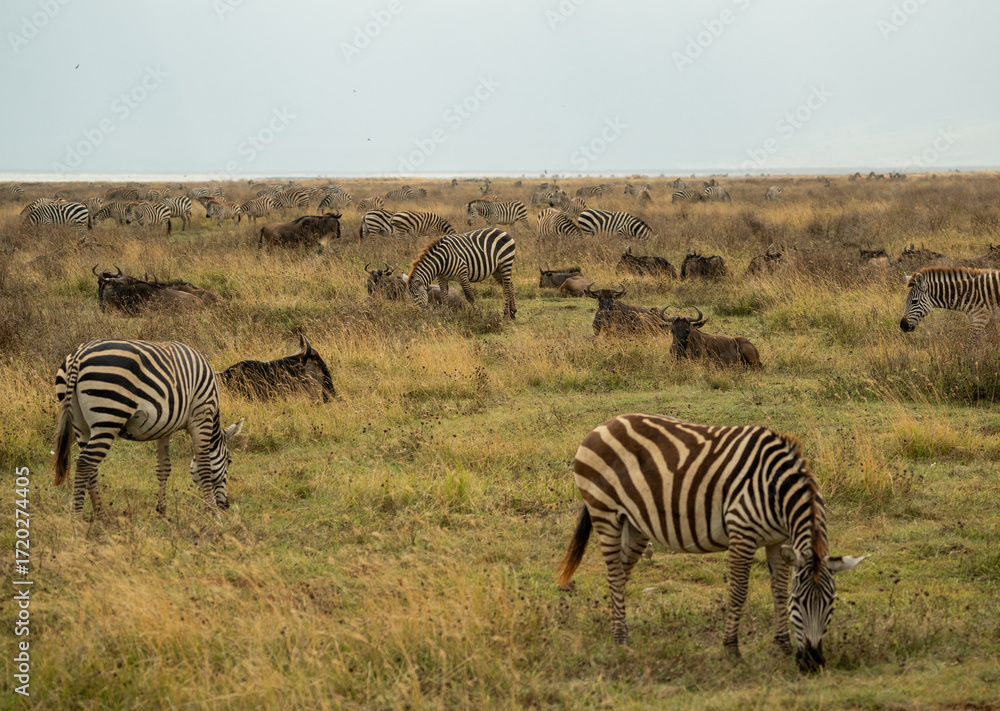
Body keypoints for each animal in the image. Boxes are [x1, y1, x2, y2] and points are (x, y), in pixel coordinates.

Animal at [54, 339, 244, 518]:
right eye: (229, 461)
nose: (225, 505)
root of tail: (78, 356)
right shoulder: (201, 415)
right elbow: (205, 467)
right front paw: (214, 513)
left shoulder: (165, 427)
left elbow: (163, 468)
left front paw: (162, 510)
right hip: (108, 417)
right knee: (84, 463)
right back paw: (76, 518)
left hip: (81, 426)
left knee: (90, 467)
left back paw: (100, 515)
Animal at [556, 413, 865, 671]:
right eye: (799, 601)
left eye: (831, 602)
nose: (812, 663)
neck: (776, 489)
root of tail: (604, 424)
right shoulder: (742, 533)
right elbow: (739, 591)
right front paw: (731, 649)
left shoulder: (779, 541)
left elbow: (778, 589)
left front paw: (783, 645)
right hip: (604, 512)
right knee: (612, 572)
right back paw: (620, 638)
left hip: (634, 524)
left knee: (620, 574)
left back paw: (619, 630)